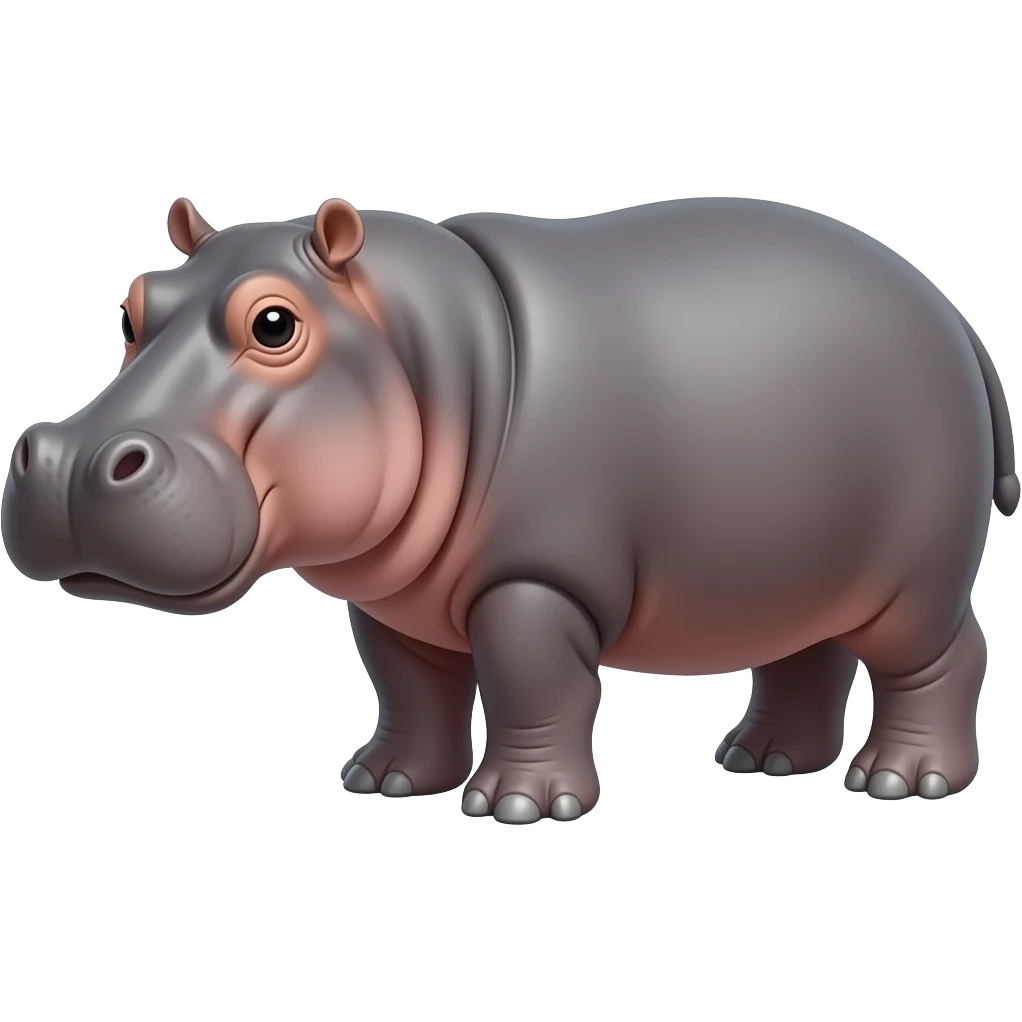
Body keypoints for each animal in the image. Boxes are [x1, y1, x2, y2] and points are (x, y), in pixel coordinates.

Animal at [2, 196, 1017, 820]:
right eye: (134, 307)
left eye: (275, 323)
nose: (66, 460)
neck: (429, 349)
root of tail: (951, 311)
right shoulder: (393, 601)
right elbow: (409, 685)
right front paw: (385, 780)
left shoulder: (534, 581)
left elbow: (531, 682)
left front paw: (515, 806)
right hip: (790, 562)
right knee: (806, 652)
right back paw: (760, 762)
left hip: (911, 577)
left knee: (943, 655)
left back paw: (902, 781)